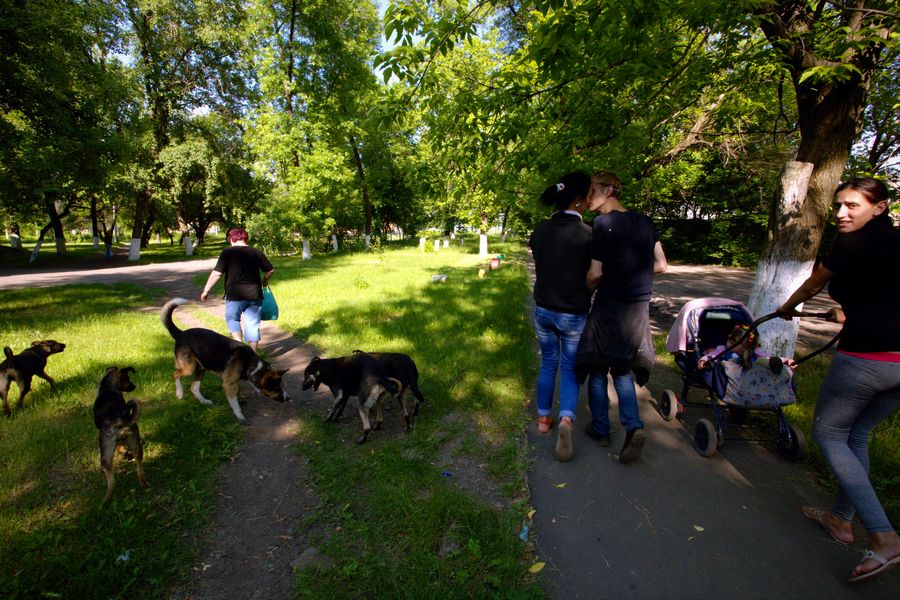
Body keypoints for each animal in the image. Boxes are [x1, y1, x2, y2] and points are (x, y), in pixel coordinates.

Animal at [93, 366, 149, 503]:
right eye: (128, 379)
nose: (134, 386)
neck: (108, 387)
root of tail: (120, 422)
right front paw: (126, 453)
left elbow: (119, 447)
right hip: (135, 444)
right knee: (139, 467)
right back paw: (145, 484)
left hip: (105, 452)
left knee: (111, 482)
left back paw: (106, 501)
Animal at [160, 298, 290, 425]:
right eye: (275, 388)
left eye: (282, 386)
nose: (288, 398)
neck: (250, 363)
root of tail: (181, 333)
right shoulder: (229, 384)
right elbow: (235, 404)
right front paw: (240, 416)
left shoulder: (235, 382)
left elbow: (237, 394)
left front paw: (240, 399)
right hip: (189, 368)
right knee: (176, 374)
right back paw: (179, 393)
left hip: (202, 368)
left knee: (194, 388)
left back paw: (204, 401)